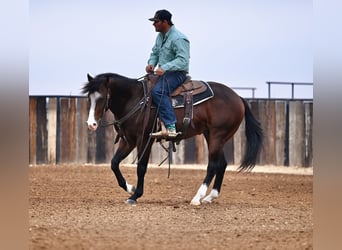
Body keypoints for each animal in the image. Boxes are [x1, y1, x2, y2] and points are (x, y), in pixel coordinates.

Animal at [81, 72, 264, 205]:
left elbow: (141, 167)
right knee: (222, 164)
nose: (91, 124)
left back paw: (197, 198)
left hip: (217, 136)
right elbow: (114, 163)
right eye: (89, 97)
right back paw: (210, 197)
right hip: (213, 136)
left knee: (213, 165)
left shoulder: (144, 140)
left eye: (102, 97)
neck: (135, 99)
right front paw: (130, 188)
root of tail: (238, 98)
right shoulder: (129, 140)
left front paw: (135, 196)